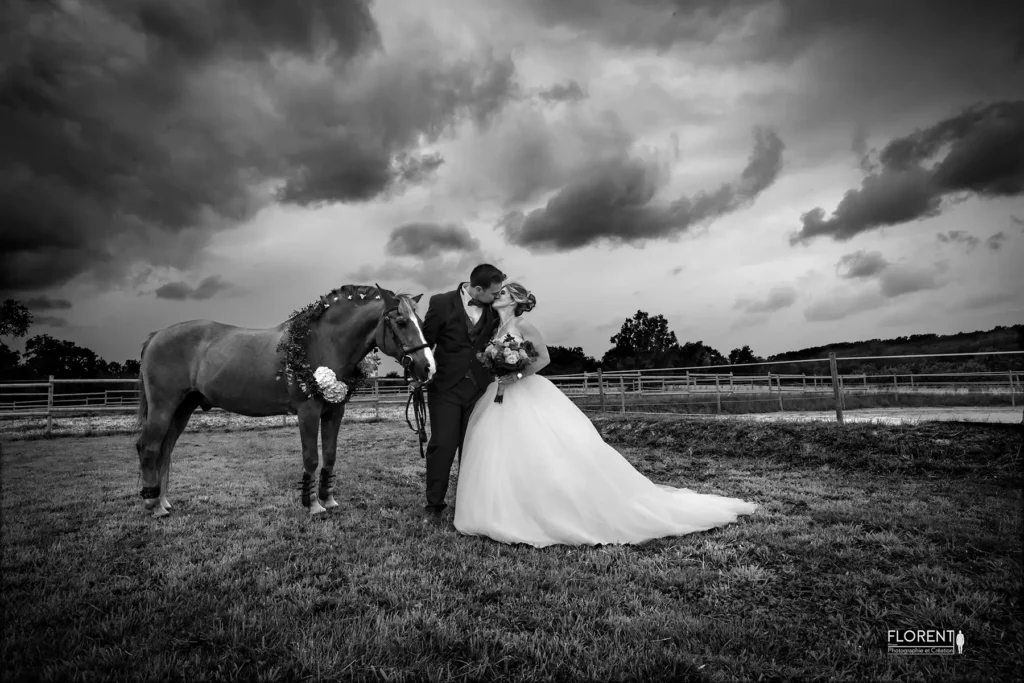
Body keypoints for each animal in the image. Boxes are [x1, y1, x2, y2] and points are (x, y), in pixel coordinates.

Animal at [134, 284, 434, 518]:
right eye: (401, 322)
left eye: (421, 323)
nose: (428, 368)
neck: (321, 341)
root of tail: (156, 336)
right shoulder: (308, 413)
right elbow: (311, 458)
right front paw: (312, 504)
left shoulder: (334, 412)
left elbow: (330, 456)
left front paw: (328, 500)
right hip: (164, 407)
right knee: (149, 448)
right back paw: (153, 505)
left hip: (183, 408)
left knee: (165, 451)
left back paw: (163, 501)